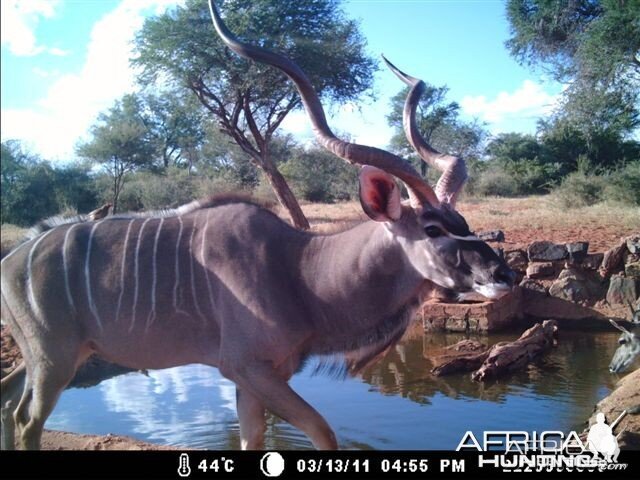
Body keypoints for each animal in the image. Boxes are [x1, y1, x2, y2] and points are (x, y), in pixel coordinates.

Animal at [0, 0, 516, 450]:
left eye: (462, 219)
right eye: (432, 229)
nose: (503, 274)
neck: (300, 271)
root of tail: (13, 256)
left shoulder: (262, 378)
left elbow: (255, 439)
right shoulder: (247, 368)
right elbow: (323, 432)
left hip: (51, 357)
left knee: (10, 404)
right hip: (54, 358)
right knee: (26, 419)